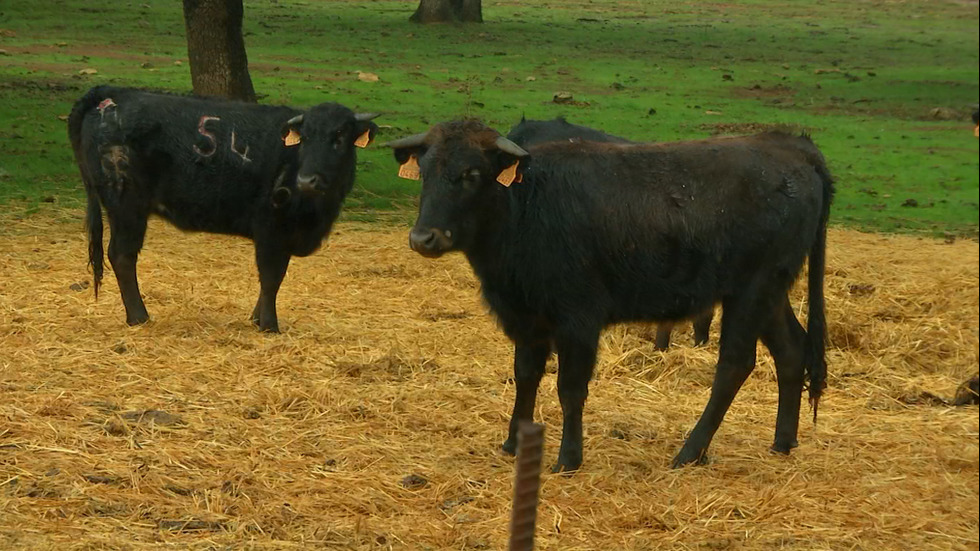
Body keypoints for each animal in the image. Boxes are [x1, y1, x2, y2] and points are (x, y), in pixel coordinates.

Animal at [68, 84, 378, 330]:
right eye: (306, 138)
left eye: (339, 137)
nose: (307, 180)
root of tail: (112, 94)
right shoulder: (270, 228)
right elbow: (271, 276)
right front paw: (268, 324)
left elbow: (275, 277)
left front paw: (257, 318)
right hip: (126, 205)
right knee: (122, 255)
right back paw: (139, 316)